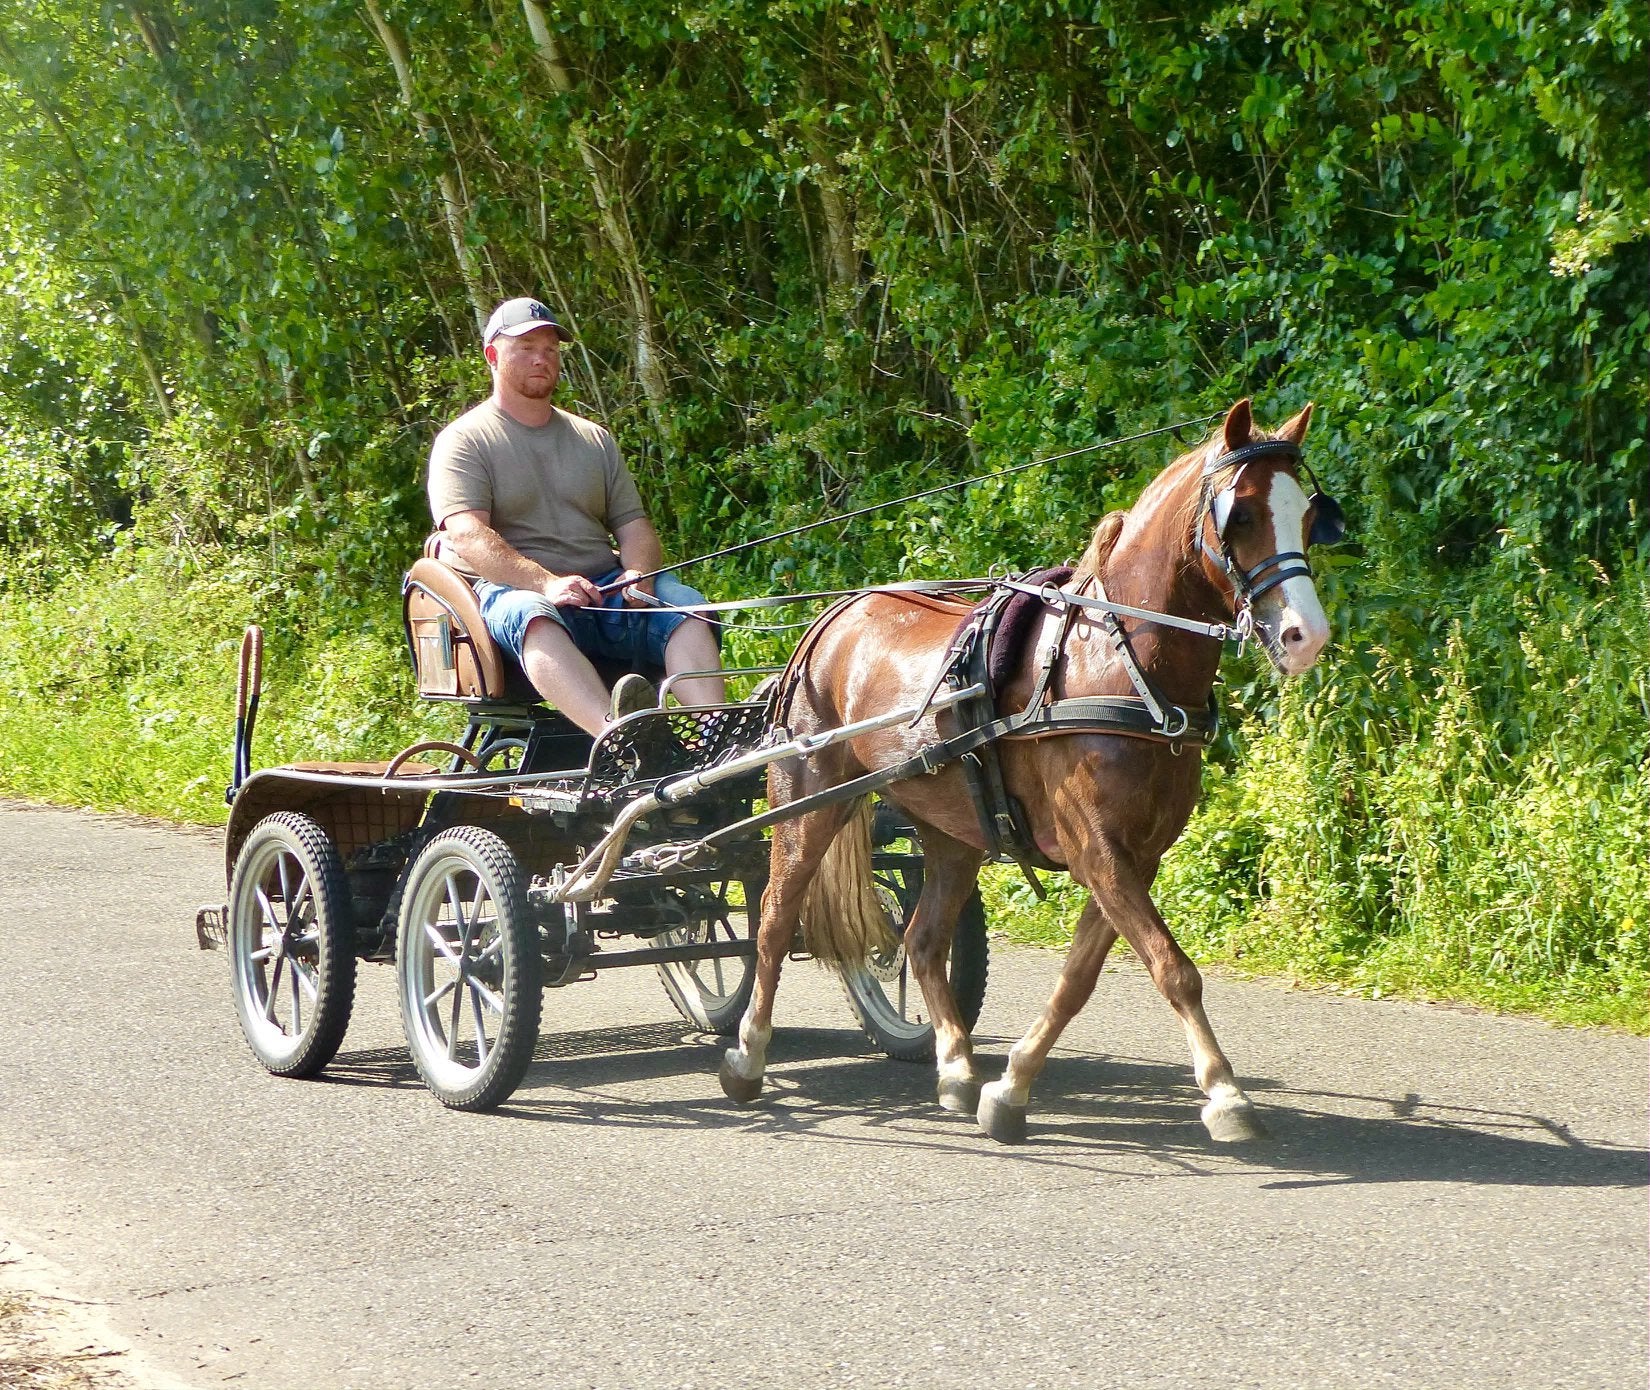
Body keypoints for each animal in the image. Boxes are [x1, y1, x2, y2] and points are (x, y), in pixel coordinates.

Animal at [718, 398, 1337, 1144]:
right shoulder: (1096, 847)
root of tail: (832, 619)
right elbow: (1173, 969)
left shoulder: (1136, 856)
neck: (1121, 664)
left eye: (1309, 514)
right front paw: (1224, 1092)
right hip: (808, 804)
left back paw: (957, 1068)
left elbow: (1079, 978)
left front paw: (1009, 1088)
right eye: (1240, 514)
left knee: (923, 940)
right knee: (774, 922)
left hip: (951, 829)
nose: (1307, 636)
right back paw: (747, 1056)